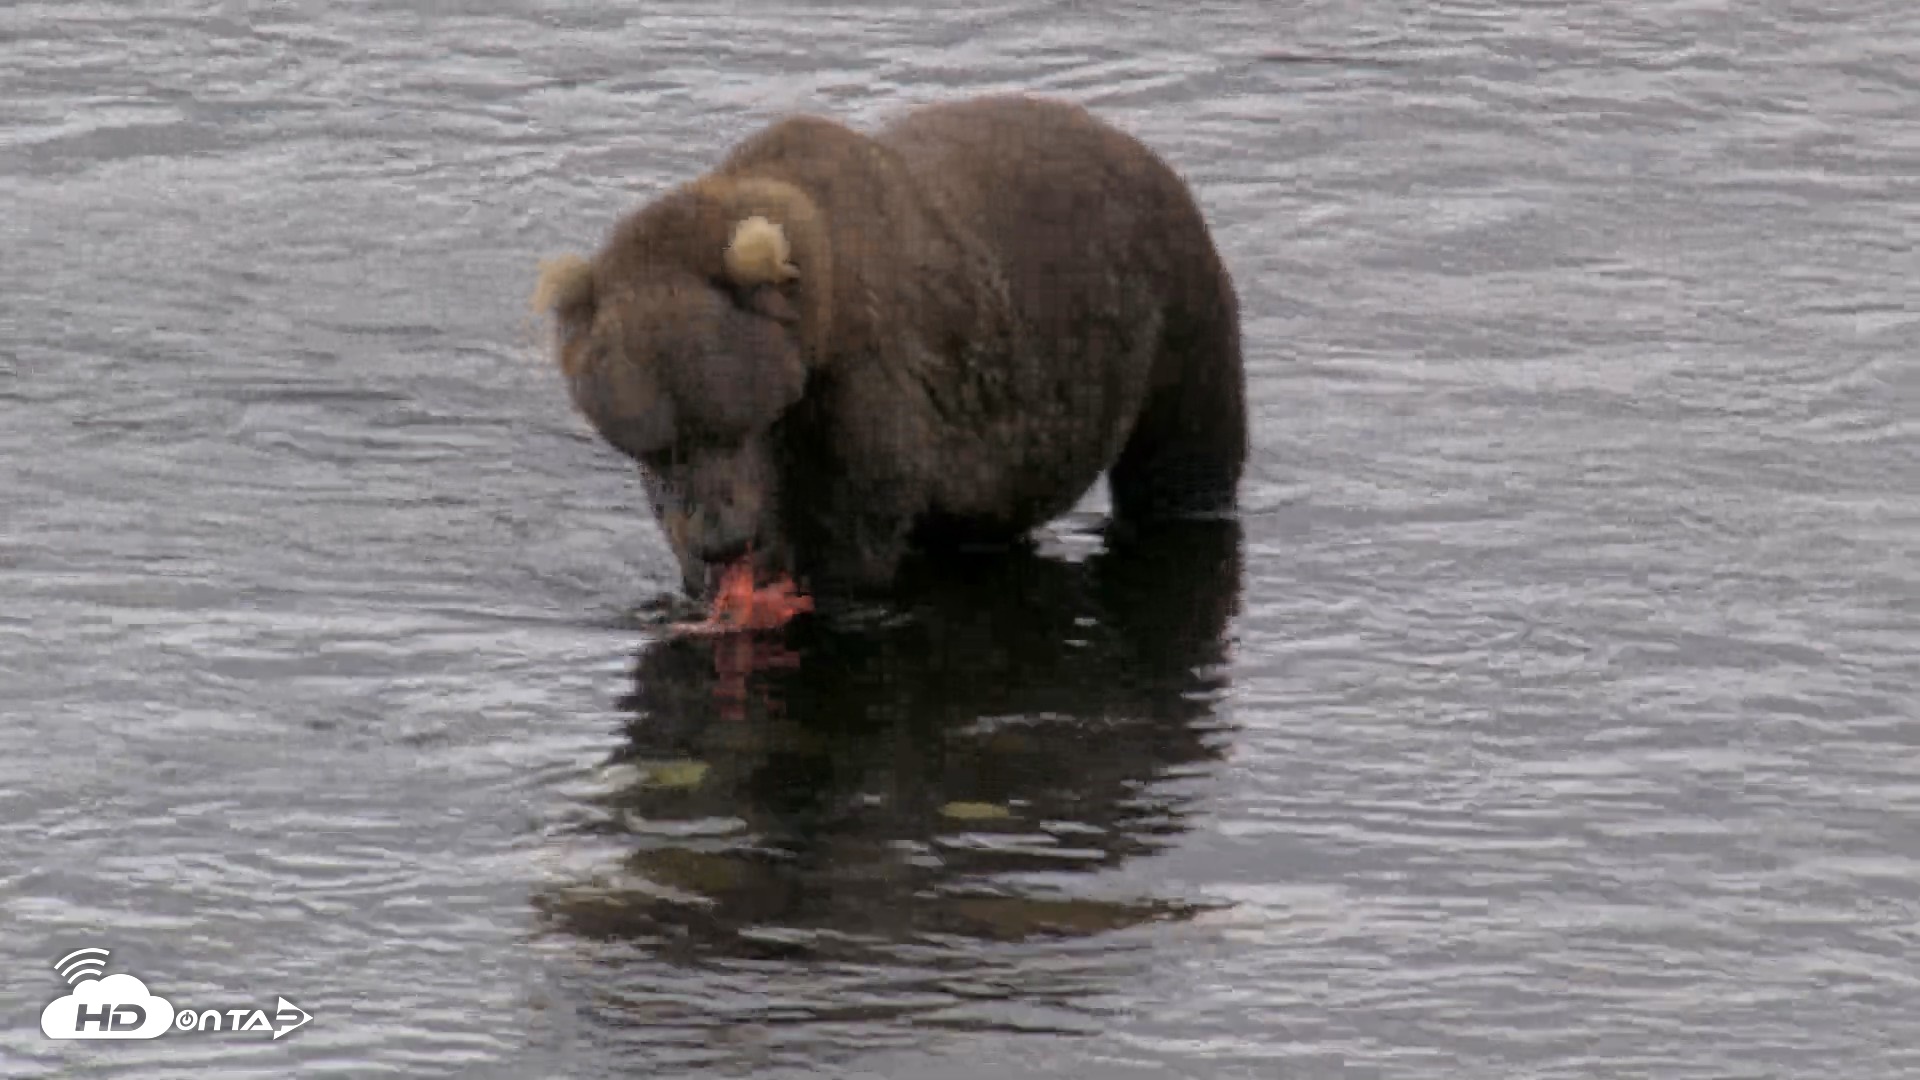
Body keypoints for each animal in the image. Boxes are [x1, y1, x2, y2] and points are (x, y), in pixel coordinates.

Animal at [532, 94, 1246, 600]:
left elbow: (857, 519)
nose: (724, 542)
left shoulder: (866, 377)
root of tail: (1140, 147)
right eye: (657, 448)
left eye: (734, 426)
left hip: (1173, 313)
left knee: (1182, 457)